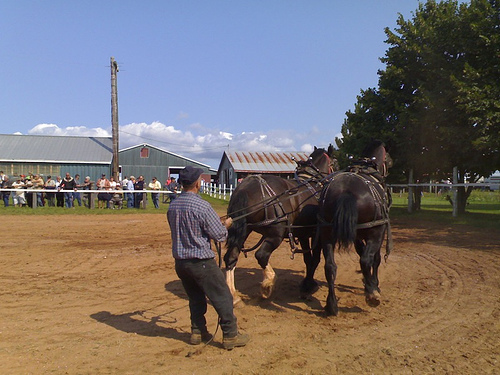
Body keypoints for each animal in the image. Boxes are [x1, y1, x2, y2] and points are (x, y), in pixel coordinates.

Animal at [226, 145, 338, 304]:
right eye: (335, 162)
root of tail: (245, 188)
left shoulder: (303, 234)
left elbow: (308, 259)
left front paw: (307, 284)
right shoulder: (318, 235)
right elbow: (315, 259)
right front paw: (309, 285)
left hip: (243, 230)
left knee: (231, 257)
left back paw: (233, 295)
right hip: (275, 235)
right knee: (261, 255)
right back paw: (268, 284)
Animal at [318, 140, 392, 316]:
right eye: (388, 159)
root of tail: (346, 191)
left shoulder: (357, 235)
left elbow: (361, 252)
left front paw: (367, 281)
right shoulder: (379, 232)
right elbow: (375, 259)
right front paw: (373, 284)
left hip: (327, 233)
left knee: (330, 267)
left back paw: (331, 305)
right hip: (375, 233)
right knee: (365, 260)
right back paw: (372, 295)